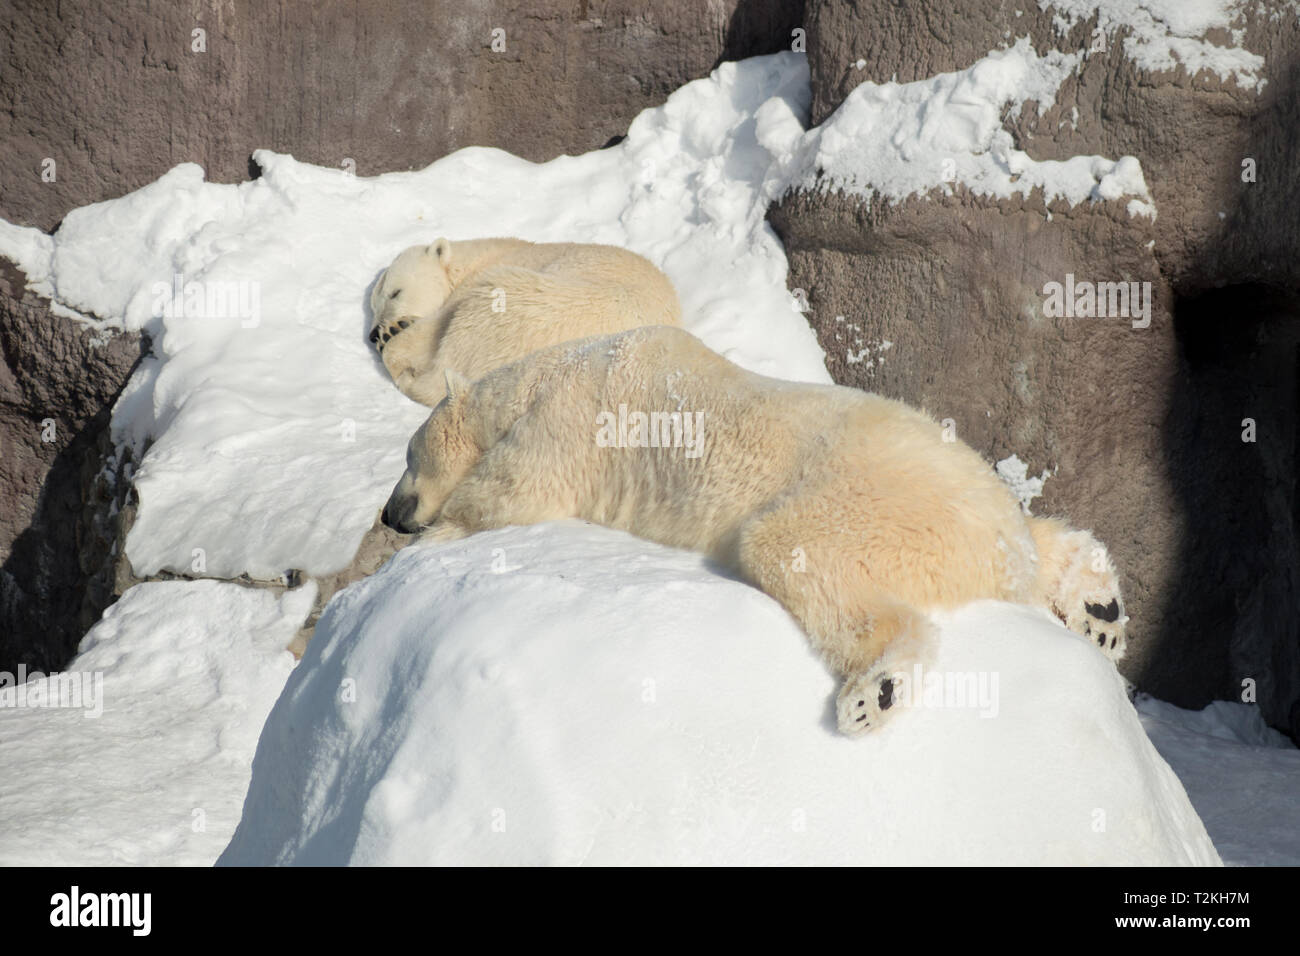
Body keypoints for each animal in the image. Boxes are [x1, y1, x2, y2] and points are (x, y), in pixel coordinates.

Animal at [379, 325, 1128, 738]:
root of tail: (1002, 548)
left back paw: (874, 693)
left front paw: (425, 542)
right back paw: (1102, 612)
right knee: (1050, 537)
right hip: (973, 507)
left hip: (873, 502)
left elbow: (518, 486)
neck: (547, 370)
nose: (389, 513)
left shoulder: (576, 415)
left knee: (801, 557)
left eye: (407, 457)